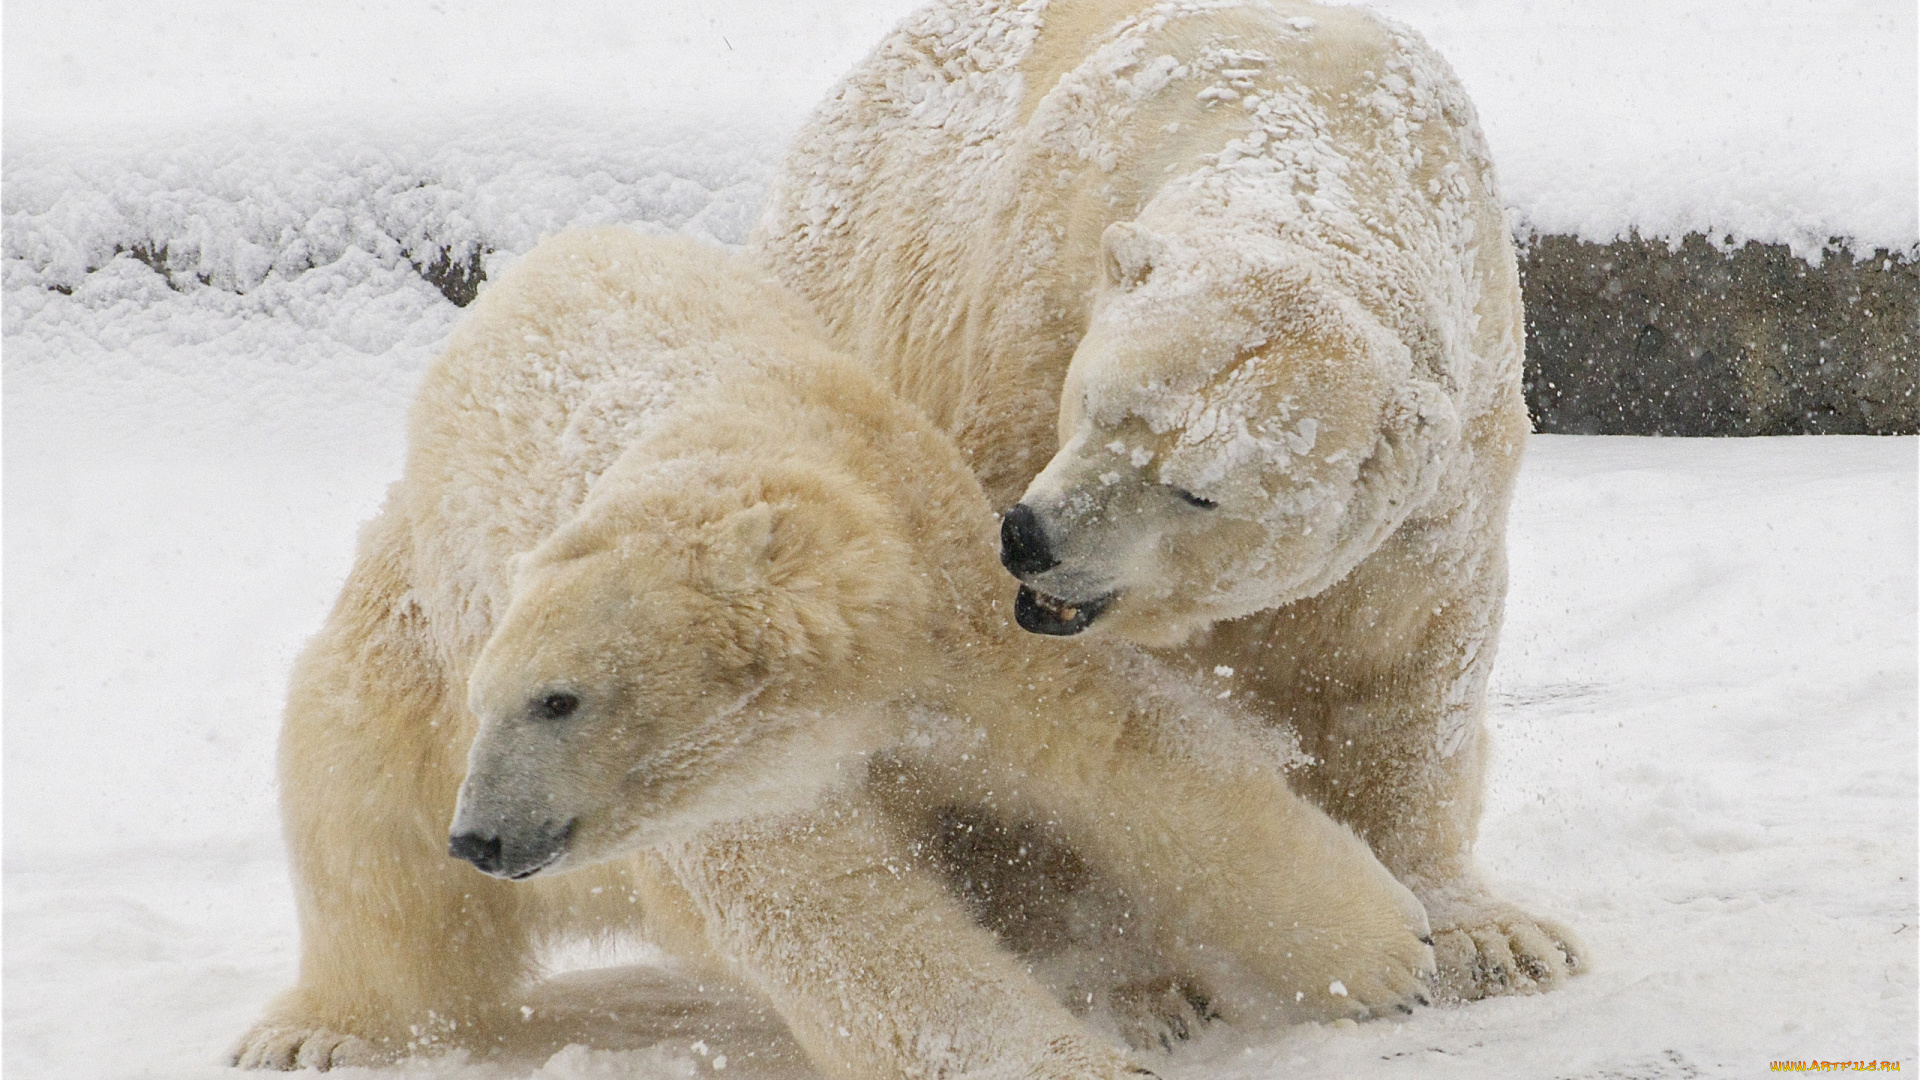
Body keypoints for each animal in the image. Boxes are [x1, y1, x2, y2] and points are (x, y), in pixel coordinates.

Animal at [236, 226, 1443, 1068]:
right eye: (508, 698)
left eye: (559, 700)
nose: (481, 838)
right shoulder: (735, 787)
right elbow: (840, 920)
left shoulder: (952, 601)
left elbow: (1126, 755)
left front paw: (1395, 954)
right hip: (405, 638)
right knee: (357, 812)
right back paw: (315, 1030)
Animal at [756, 0, 1582, 999]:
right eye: (1096, 401)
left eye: (1197, 492)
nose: (1030, 538)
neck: (1310, 144)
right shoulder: (1031, 319)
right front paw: (1130, 982)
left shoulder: (1457, 447)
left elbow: (1409, 660)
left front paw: (1494, 940)